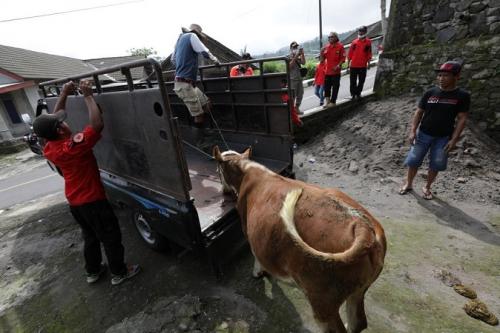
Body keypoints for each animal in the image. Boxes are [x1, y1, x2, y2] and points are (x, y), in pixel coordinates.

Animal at [214, 147, 386, 330]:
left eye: (218, 168)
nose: (223, 191)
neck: (246, 169)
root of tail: (362, 227)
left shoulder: (246, 227)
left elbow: (255, 255)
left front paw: (258, 273)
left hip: (322, 301)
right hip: (359, 290)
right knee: (358, 322)